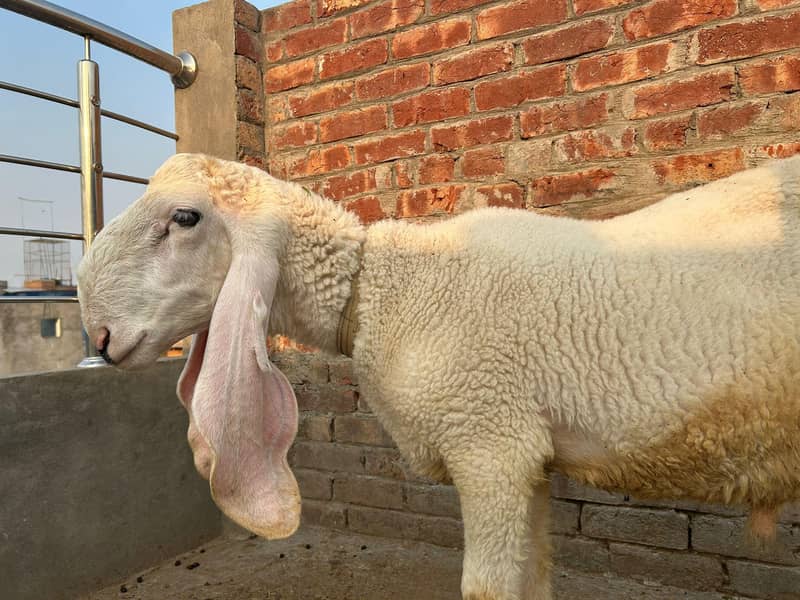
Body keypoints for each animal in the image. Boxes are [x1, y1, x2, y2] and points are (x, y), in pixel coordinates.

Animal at [77, 152, 800, 600]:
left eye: (185, 218)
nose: (99, 334)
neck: (380, 289)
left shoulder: (490, 443)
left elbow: (488, 588)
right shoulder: (528, 457)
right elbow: (535, 578)